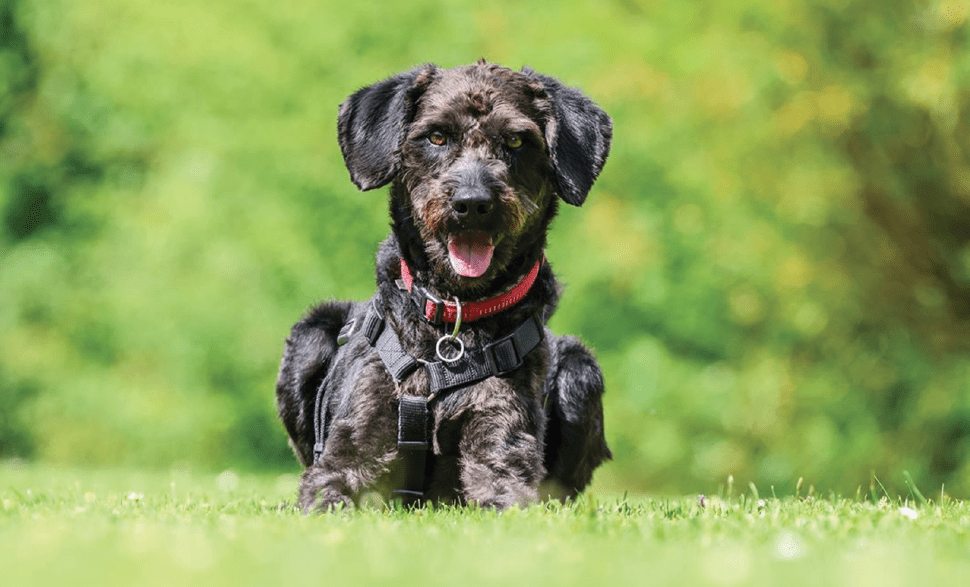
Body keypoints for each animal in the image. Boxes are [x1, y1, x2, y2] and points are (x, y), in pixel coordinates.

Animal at [276, 58, 612, 510]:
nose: (472, 203)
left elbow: (505, 489)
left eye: (515, 140)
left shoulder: (501, 451)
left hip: (580, 370)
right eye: (437, 136)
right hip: (311, 334)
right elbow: (327, 488)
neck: (452, 319)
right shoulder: (349, 449)